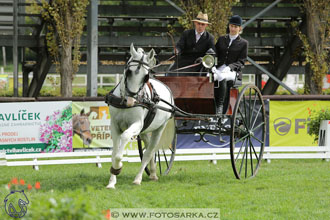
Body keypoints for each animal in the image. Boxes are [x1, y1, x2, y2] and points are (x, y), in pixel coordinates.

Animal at [107, 43, 175, 189]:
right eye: (128, 72)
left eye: (146, 76)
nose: (131, 101)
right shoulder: (114, 125)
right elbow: (114, 153)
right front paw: (112, 181)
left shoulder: (137, 125)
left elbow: (125, 137)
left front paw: (118, 167)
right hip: (144, 130)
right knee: (151, 150)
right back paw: (153, 173)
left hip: (159, 129)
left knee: (148, 152)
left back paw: (138, 179)